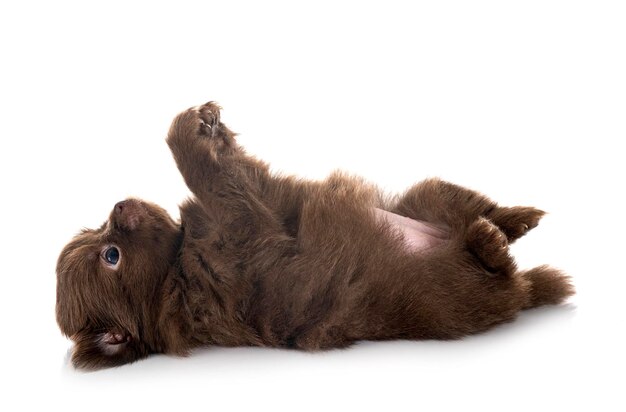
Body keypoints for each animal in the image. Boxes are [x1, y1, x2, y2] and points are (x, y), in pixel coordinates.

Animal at [56, 101, 572, 368]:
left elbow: (230, 171)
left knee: (476, 209)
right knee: (496, 265)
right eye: (110, 255)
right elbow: (216, 178)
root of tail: (525, 292)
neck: (175, 273)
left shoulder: (266, 201)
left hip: (429, 194)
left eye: (100, 234)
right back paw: (494, 241)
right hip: (457, 292)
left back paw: (518, 218)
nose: (118, 206)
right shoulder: (246, 232)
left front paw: (209, 123)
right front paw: (191, 130)